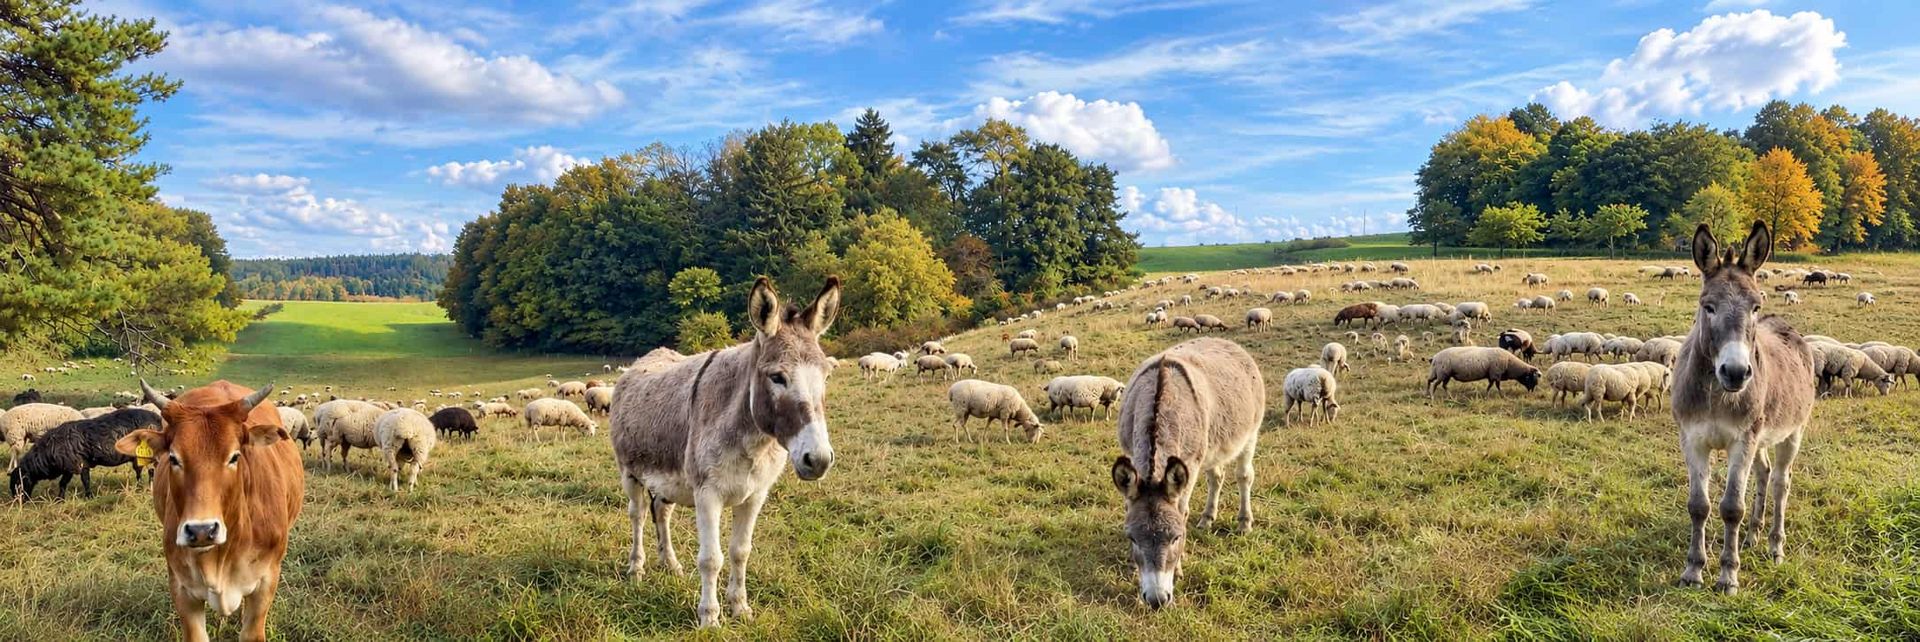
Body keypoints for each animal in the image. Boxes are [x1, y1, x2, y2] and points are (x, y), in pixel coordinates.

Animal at [7, 408, 160, 498]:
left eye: (19, 482)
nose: (19, 502)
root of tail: (158, 419)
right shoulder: (76, 465)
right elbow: (69, 482)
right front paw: (61, 499)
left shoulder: (76, 464)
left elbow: (78, 481)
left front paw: (87, 496)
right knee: (140, 471)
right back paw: (140, 487)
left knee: (151, 471)